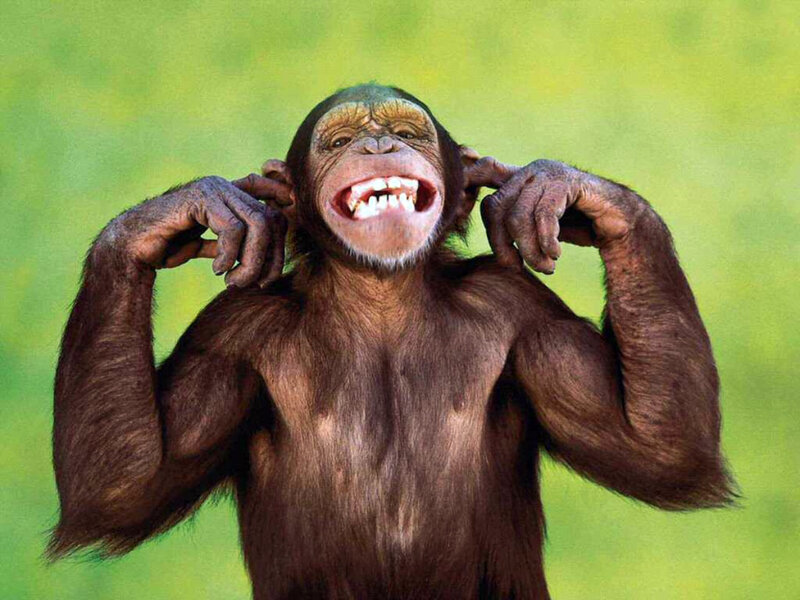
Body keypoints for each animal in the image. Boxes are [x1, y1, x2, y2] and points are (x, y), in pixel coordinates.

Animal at [49, 84, 735, 599]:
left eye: (408, 132)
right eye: (339, 141)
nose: (379, 143)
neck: (381, 299)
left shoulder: (524, 314)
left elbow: (654, 448)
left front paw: (555, 188)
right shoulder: (229, 337)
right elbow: (124, 484)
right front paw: (185, 211)